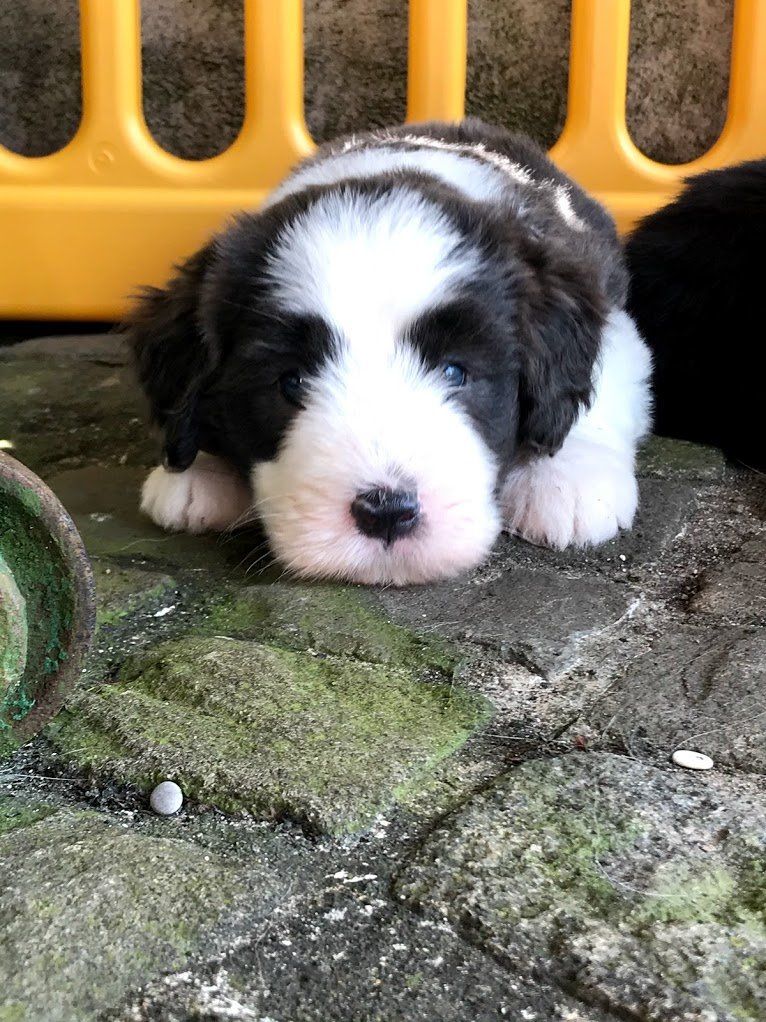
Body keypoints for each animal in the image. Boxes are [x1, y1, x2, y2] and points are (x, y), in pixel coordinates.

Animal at [128, 119, 652, 585]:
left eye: (455, 372)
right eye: (291, 382)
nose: (386, 513)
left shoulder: (612, 317)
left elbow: (596, 389)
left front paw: (569, 478)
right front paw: (199, 468)